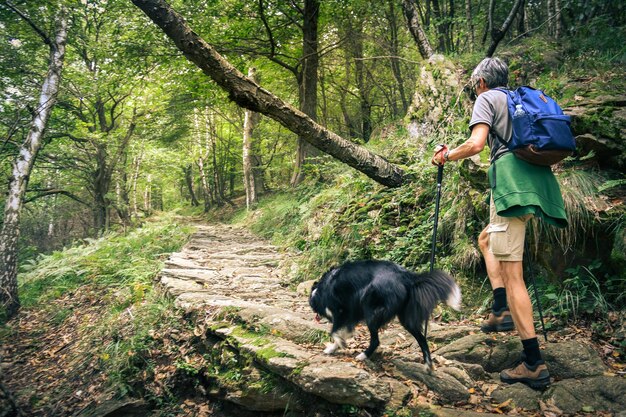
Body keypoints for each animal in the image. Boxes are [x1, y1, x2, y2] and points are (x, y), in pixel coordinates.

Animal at [308, 258, 458, 368]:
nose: (315, 317)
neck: (320, 289)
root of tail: (406, 277)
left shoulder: (341, 310)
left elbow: (334, 331)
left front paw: (337, 344)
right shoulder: (350, 314)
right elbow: (342, 331)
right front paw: (333, 348)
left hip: (370, 309)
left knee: (376, 340)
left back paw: (363, 356)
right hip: (405, 318)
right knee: (421, 338)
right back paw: (428, 365)